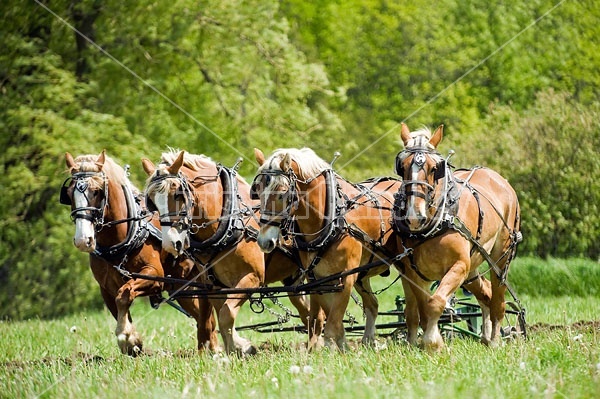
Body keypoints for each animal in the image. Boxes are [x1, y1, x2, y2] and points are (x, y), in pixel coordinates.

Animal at [58, 150, 217, 356]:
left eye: (96, 191)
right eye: (69, 194)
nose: (82, 240)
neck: (120, 241)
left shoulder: (154, 276)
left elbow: (124, 295)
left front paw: (128, 337)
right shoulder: (105, 289)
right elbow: (119, 306)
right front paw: (130, 341)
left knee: (208, 317)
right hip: (182, 289)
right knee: (202, 317)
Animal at [142, 150, 318, 356]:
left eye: (177, 193)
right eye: (152, 201)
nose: (171, 243)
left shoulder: (252, 278)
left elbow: (226, 314)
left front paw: (238, 349)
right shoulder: (214, 284)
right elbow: (222, 315)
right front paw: (235, 348)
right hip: (294, 277)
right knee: (305, 308)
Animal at [251, 148, 400, 354]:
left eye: (281, 194)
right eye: (257, 191)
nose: (264, 242)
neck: (330, 220)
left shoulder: (346, 277)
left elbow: (333, 322)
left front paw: (331, 349)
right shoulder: (317, 278)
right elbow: (332, 320)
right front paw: (341, 348)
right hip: (362, 276)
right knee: (372, 305)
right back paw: (368, 341)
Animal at [394, 123, 520, 352]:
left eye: (434, 168)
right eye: (403, 166)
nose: (414, 216)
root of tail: (498, 178)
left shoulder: (459, 266)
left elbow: (435, 303)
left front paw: (432, 342)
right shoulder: (412, 272)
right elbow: (423, 308)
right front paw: (432, 340)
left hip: (500, 255)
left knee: (498, 297)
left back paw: (495, 339)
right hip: (472, 267)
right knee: (486, 293)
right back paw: (485, 336)